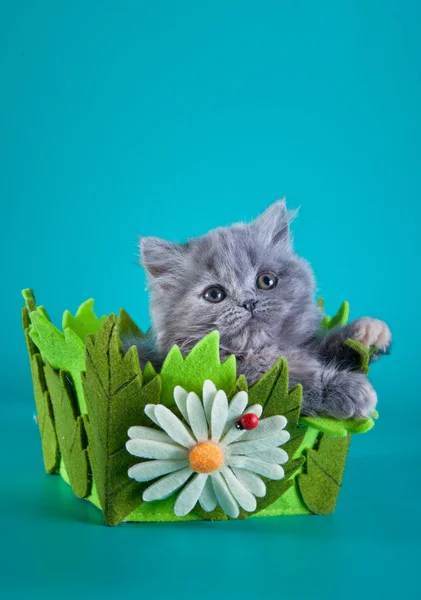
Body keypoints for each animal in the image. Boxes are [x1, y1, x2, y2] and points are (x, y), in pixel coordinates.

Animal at [124, 200, 390, 418]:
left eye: (266, 281)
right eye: (214, 294)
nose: (248, 302)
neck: (258, 352)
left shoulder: (304, 347)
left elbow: (324, 346)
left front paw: (368, 332)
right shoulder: (235, 381)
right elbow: (297, 383)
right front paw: (351, 389)